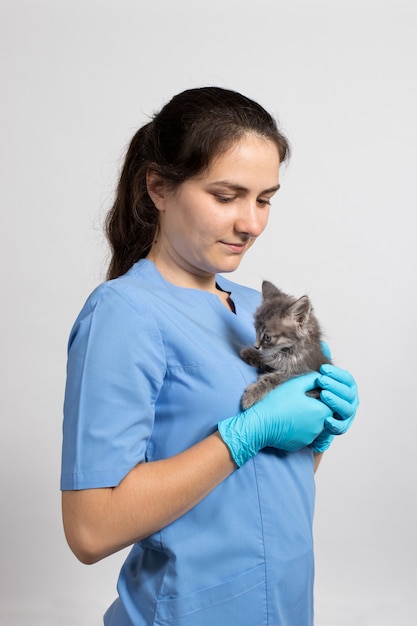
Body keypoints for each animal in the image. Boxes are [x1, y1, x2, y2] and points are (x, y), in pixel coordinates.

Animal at [239, 280, 330, 410]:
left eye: (267, 337)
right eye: (256, 330)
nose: (255, 346)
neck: (287, 351)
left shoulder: (298, 371)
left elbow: (271, 378)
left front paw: (252, 394)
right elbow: (268, 359)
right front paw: (250, 353)